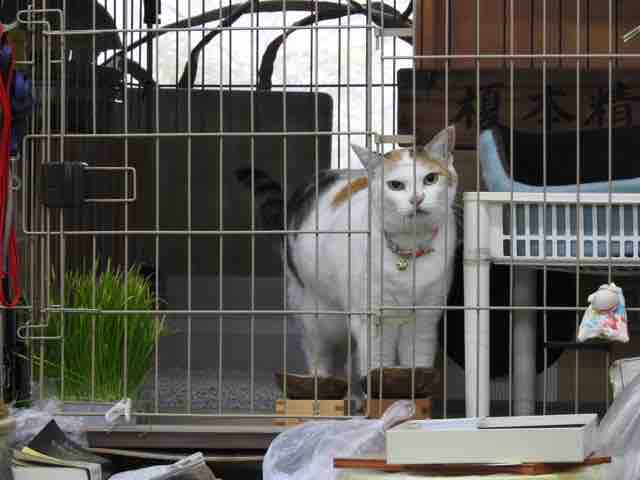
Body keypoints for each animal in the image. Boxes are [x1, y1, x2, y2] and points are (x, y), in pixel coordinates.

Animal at [236, 126, 459, 385]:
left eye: (430, 179)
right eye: (395, 185)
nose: (417, 199)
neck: (408, 249)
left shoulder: (424, 319)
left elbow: (416, 363)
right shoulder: (372, 321)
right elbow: (377, 365)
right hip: (315, 315)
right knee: (317, 352)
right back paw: (319, 383)